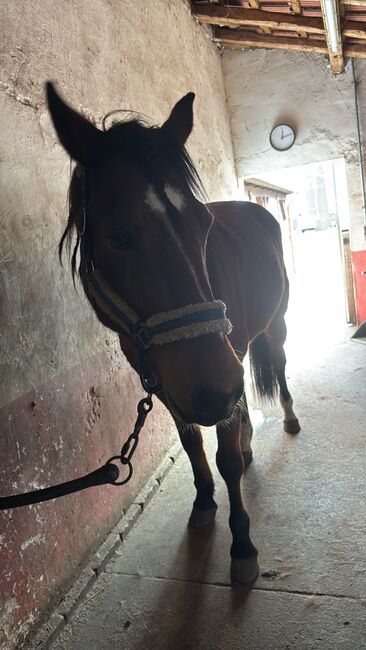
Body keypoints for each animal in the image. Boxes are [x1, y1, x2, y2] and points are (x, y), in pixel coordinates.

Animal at [46, 81, 300, 584]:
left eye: (204, 226)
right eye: (119, 235)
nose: (215, 394)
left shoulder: (218, 369)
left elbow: (225, 460)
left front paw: (242, 544)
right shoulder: (169, 383)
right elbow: (192, 442)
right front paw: (203, 502)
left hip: (271, 329)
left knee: (278, 366)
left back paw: (287, 418)